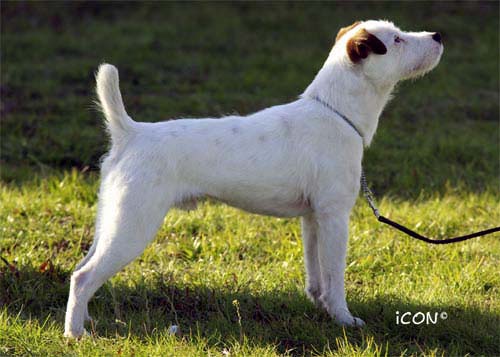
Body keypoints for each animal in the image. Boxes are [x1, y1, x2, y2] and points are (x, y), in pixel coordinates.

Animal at [64, 19, 444, 336]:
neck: (336, 113)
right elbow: (335, 276)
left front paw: (320, 307)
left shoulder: (313, 218)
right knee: (84, 277)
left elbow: (316, 274)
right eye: (396, 40)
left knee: (82, 268)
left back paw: (86, 321)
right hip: (133, 226)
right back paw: (75, 334)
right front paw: (344, 319)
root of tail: (130, 133)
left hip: (112, 220)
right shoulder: (335, 216)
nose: (438, 36)